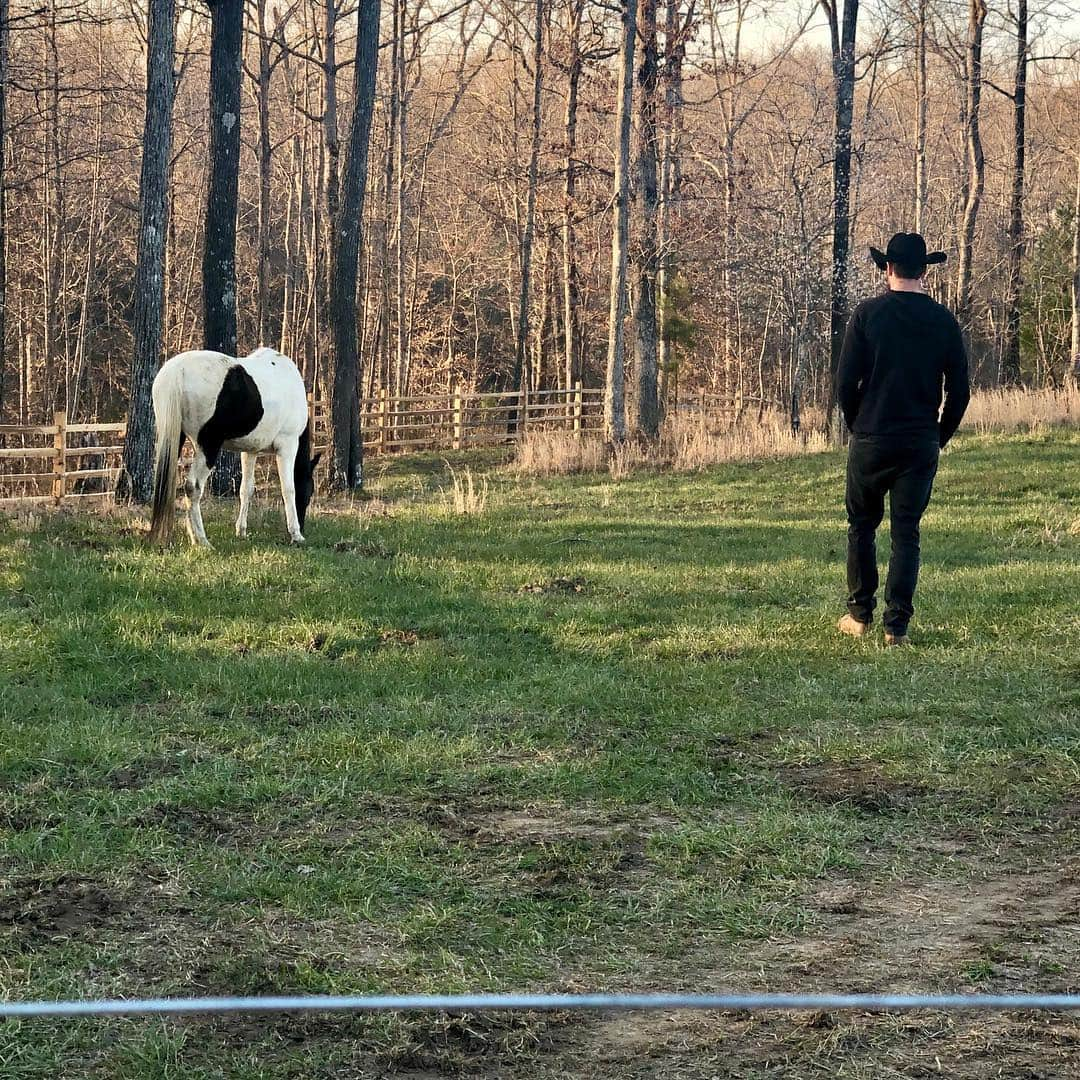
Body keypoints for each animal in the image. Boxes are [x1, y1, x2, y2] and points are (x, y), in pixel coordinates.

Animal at [150, 347, 321, 548]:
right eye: (309, 491)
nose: (303, 525)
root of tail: (178, 370)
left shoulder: (250, 451)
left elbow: (246, 489)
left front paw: (241, 531)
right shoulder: (287, 445)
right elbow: (288, 489)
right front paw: (295, 534)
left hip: (174, 438)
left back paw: (193, 539)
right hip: (208, 446)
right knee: (193, 487)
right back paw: (203, 541)